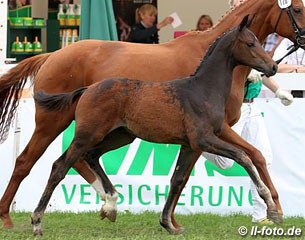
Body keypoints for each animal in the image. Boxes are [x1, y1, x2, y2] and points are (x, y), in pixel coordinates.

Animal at [32, 17, 276, 236]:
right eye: (250, 43)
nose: (273, 67)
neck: (203, 90)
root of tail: (87, 89)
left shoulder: (190, 145)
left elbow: (178, 179)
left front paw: (168, 224)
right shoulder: (204, 139)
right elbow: (243, 156)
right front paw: (271, 206)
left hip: (120, 136)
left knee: (91, 156)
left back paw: (111, 202)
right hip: (88, 134)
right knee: (60, 166)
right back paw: (37, 222)